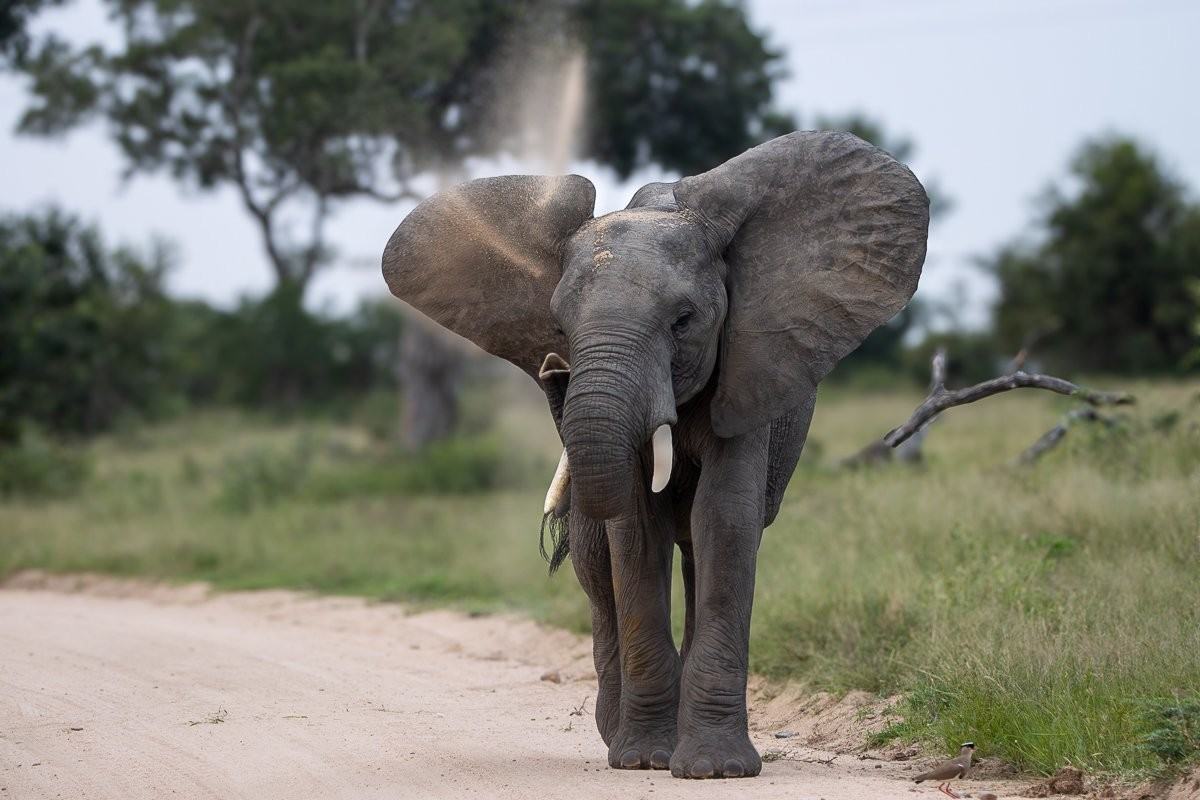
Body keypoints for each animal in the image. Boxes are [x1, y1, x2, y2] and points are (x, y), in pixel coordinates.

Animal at [381, 131, 929, 779]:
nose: (554, 374)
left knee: (695, 547)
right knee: (598, 566)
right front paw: (644, 759)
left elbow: (725, 519)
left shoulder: (749, 372)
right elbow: (634, 530)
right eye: (558, 327)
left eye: (684, 320)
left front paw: (715, 768)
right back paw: (613, 731)